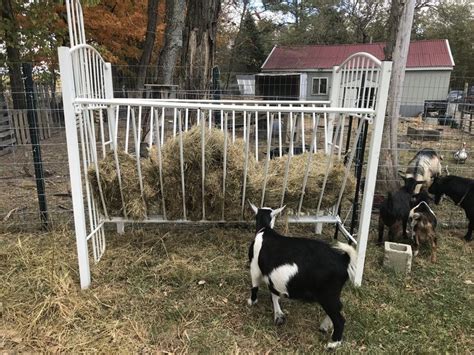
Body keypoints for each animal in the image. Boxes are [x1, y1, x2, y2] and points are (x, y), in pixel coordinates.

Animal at [248, 202, 356, 350]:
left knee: (339, 319)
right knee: (339, 306)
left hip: (327, 294)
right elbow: (274, 293)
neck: (265, 230)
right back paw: (325, 326)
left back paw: (333, 343)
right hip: (333, 293)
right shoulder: (272, 276)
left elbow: (255, 286)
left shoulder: (255, 267)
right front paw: (278, 315)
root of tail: (343, 260)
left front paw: (252, 302)